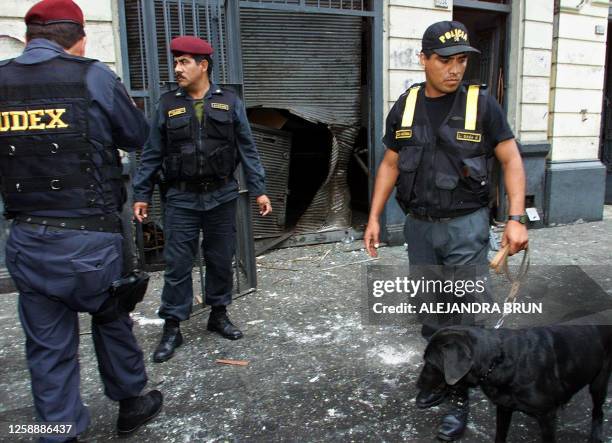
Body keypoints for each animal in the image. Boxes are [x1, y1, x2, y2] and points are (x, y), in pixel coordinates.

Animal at [416, 324, 612, 442]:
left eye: (430, 363)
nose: (417, 384)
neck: (497, 360)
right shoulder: (504, 407)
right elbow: (500, 434)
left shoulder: (547, 416)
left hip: (599, 382)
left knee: (598, 411)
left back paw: (596, 436)